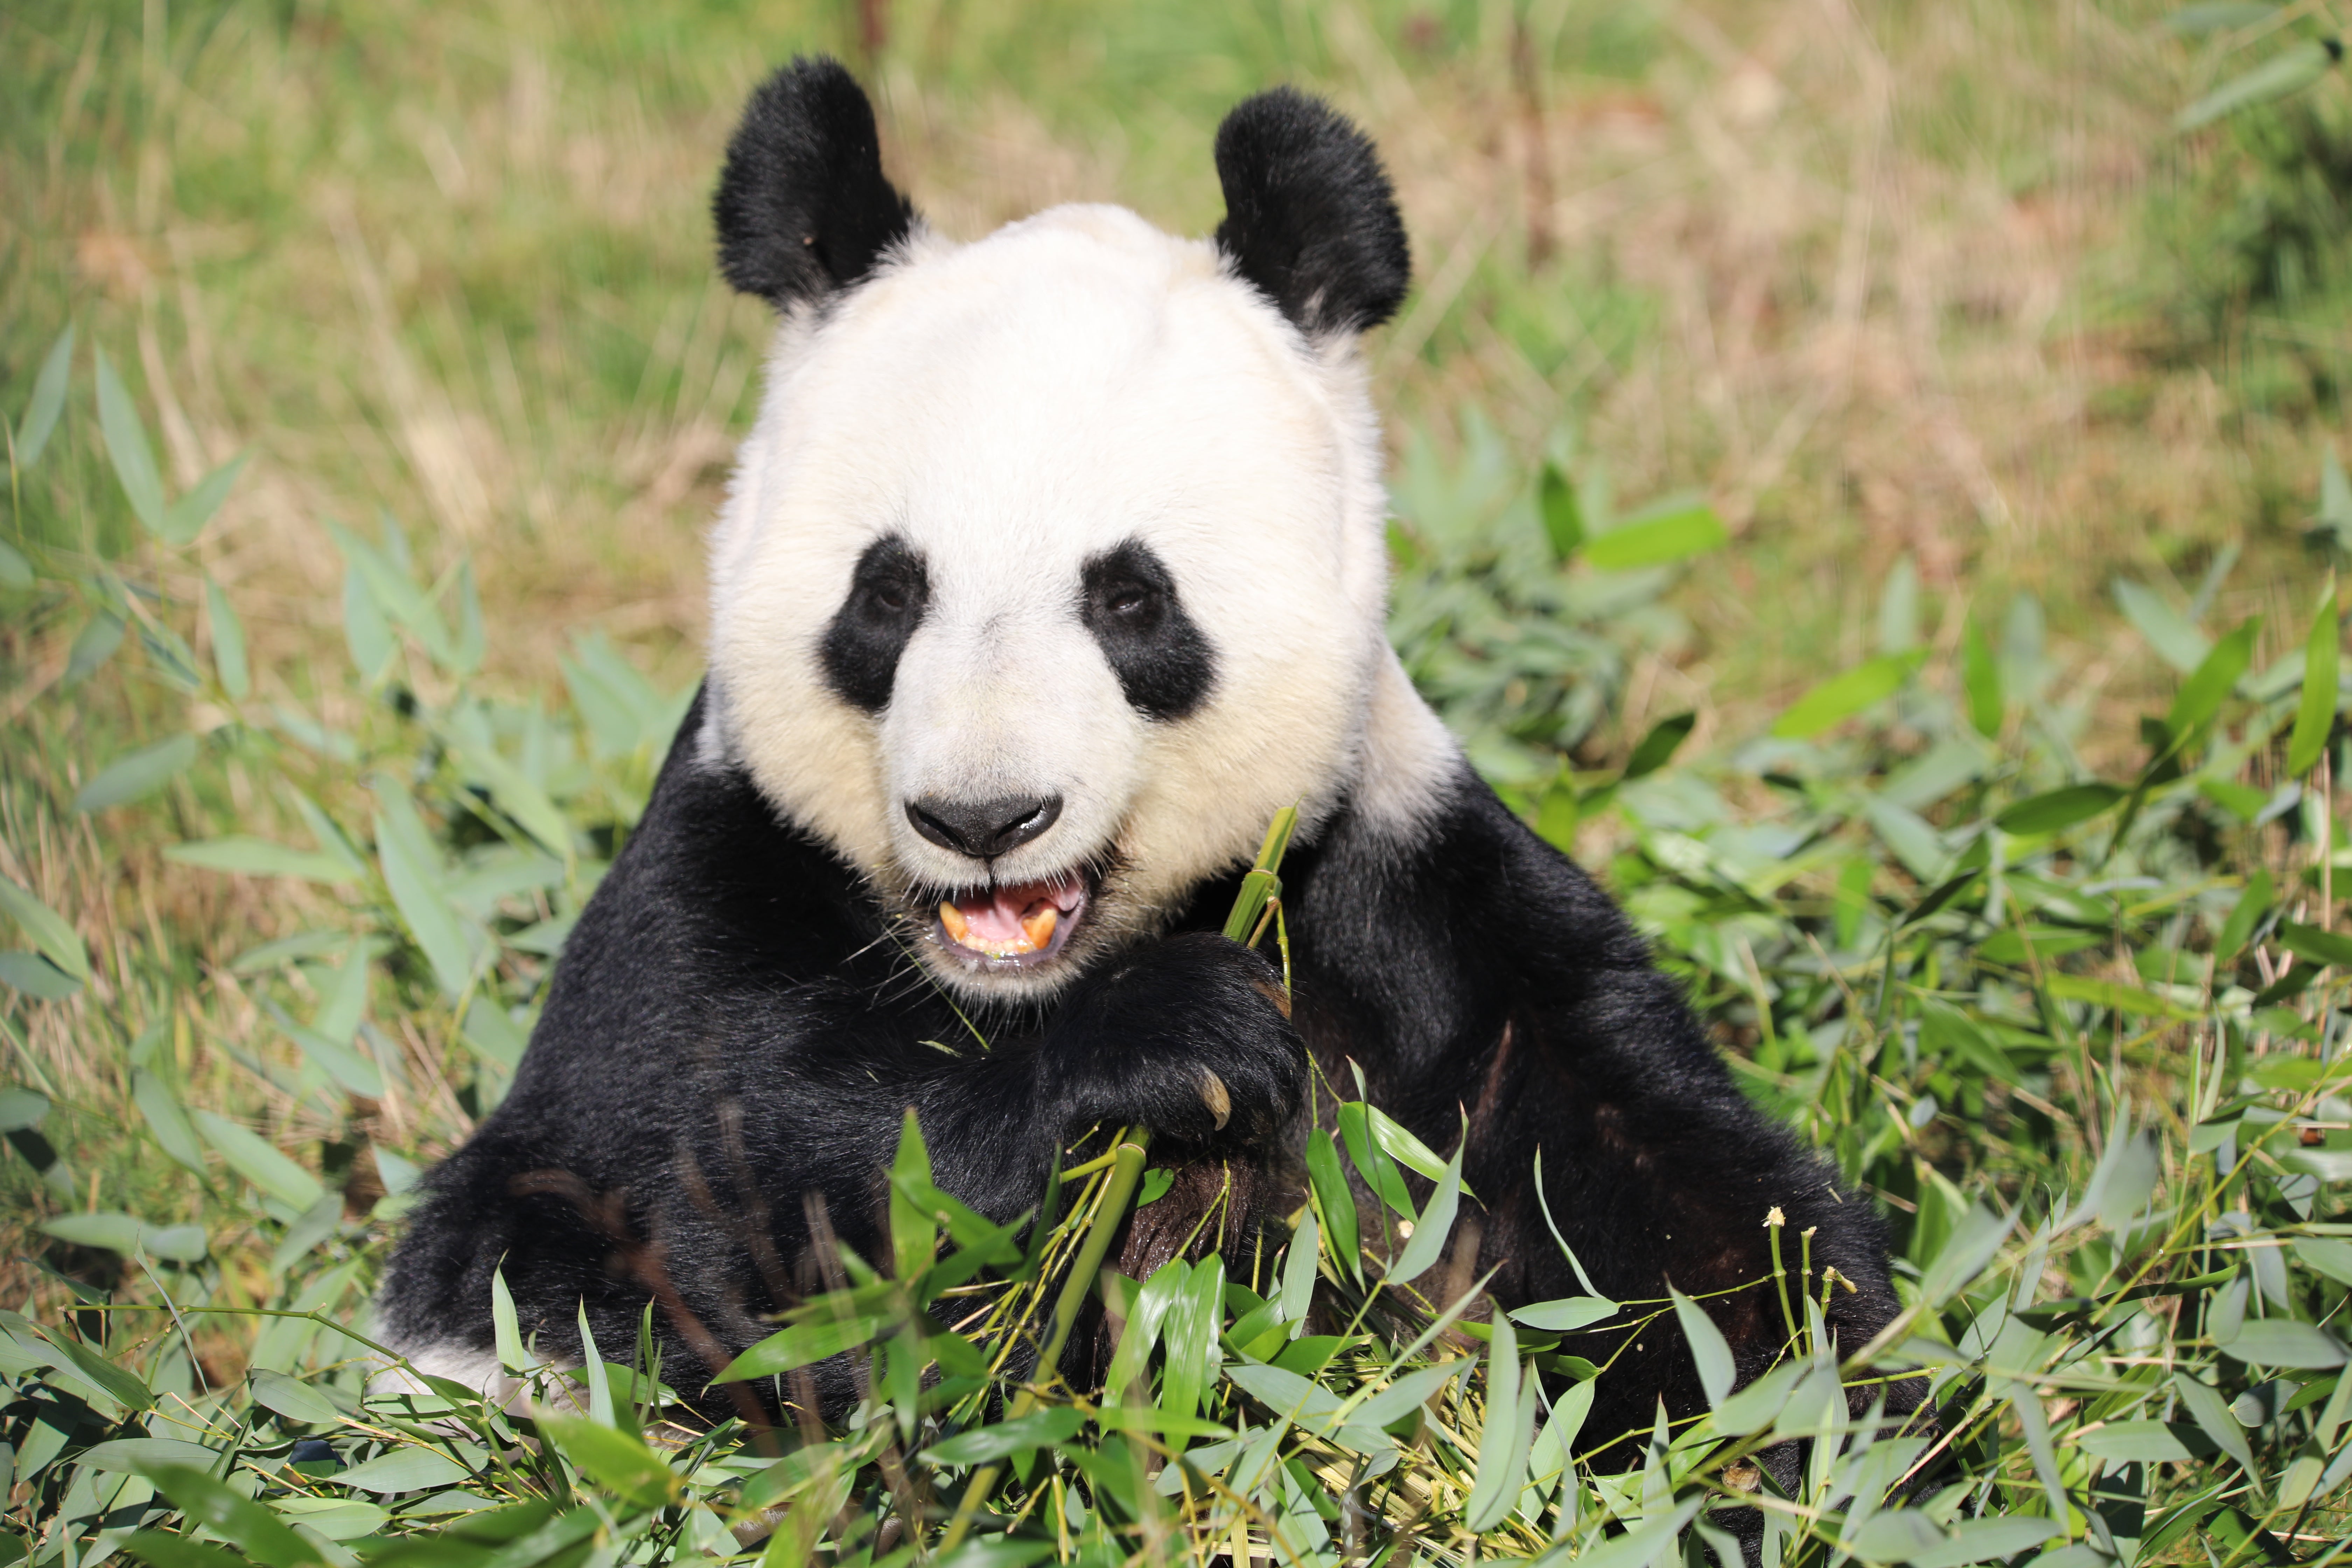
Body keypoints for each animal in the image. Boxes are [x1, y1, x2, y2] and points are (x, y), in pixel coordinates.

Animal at [376, 55, 1928, 1504]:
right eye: (887, 595)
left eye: (1131, 600)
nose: (984, 819)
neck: (1026, 983)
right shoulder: (721, 877)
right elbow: (705, 1216)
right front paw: (1161, 1049)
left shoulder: (1397, 891)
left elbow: (1665, 1209)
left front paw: (1828, 1430)